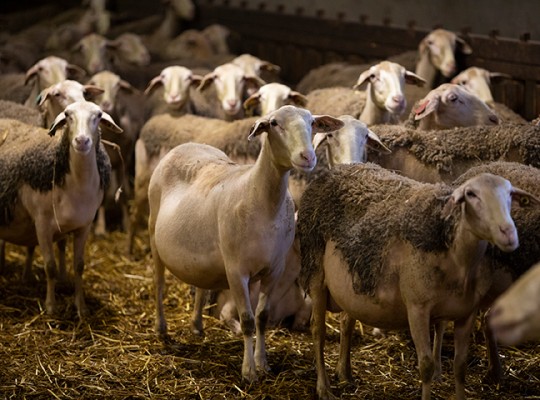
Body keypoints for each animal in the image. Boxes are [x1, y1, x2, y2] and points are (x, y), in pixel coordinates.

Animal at [0, 101, 122, 318]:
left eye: (99, 115)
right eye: (67, 114)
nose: (81, 141)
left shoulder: (84, 226)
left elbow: (79, 266)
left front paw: (81, 307)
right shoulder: (42, 224)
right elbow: (50, 267)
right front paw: (50, 306)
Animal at [148, 104, 342, 382]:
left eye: (312, 123)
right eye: (274, 123)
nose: (307, 157)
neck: (259, 196)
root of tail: (187, 145)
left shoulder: (274, 270)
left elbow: (262, 317)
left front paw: (263, 363)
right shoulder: (236, 271)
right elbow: (248, 321)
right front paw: (249, 371)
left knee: (201, 288)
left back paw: (197, 326)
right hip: (153, 233)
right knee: (159, 284)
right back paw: (161, 328)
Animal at [298, 162, 536, 400]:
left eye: (510, 195)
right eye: (471, 194)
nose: (509, 233)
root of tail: (339, 169)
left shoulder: (466, 313)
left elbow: (460, 366)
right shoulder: (417, 308)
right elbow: (426, 366)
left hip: (353, 284)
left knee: (346, 321)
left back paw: (345, 373)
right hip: (315, 272)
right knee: (318, 331)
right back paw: (324, 388)